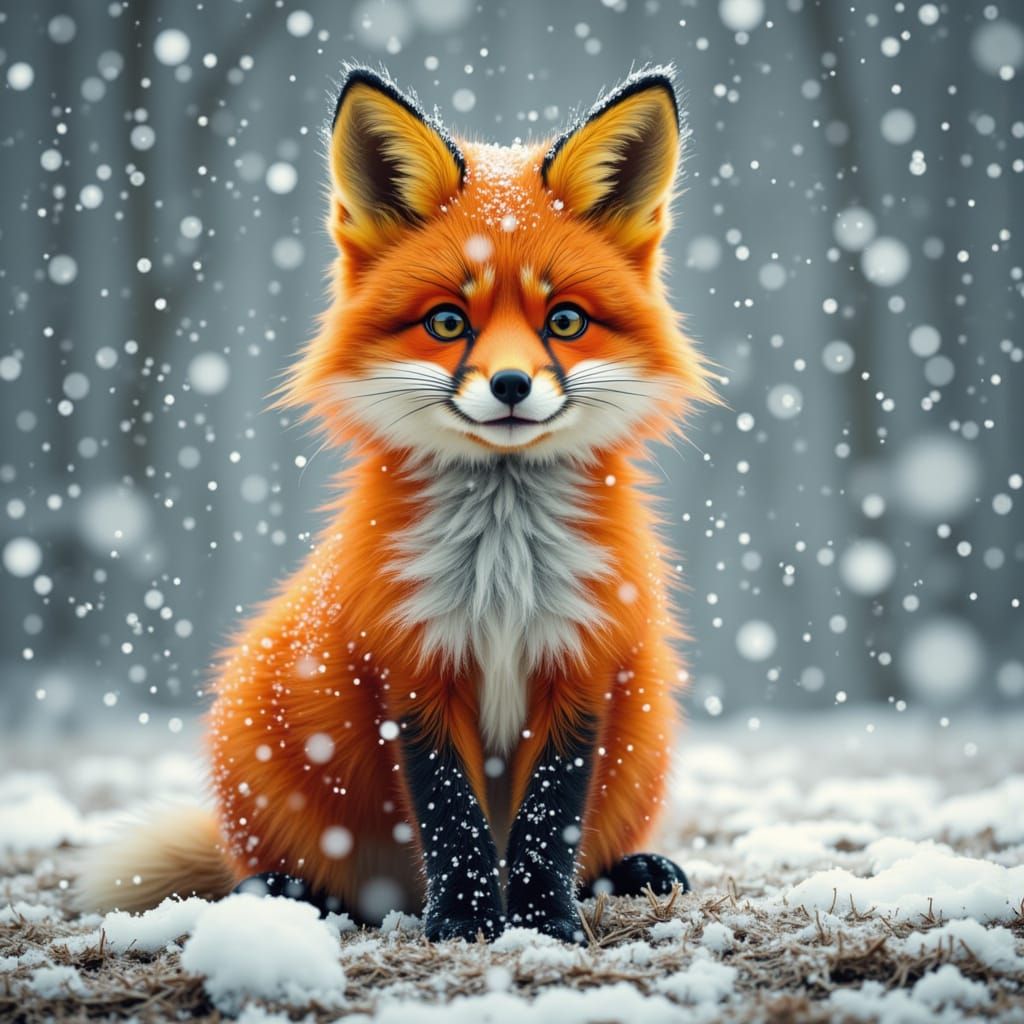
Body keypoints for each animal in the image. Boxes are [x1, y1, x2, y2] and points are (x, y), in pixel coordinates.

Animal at [76, 65, 715, 943]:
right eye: (447, 322)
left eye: (564, 321)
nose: (510, 385)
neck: (502, 577)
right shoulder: (411, 663)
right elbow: (452, 817)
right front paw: (471, 925)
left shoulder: (582, 661)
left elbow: (548, 818)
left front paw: (543, 925)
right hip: (260, 735)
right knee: (274, 872)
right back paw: (293, 894)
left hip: (644, 730)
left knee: (593, 842)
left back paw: (631, 873)